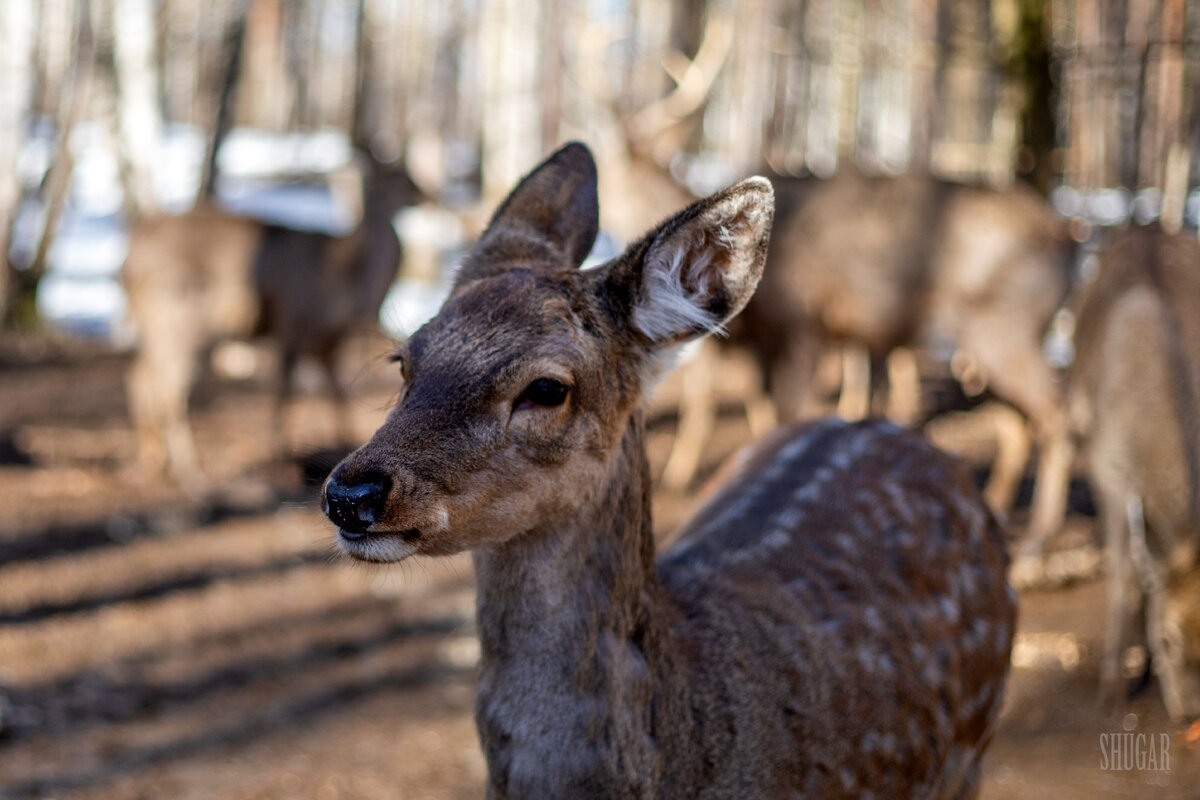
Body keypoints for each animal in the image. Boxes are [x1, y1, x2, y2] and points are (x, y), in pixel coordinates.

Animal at [123, 152, 422, 484]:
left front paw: (344, 444)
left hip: (156, 329)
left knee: (139, 376)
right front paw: (280, 461)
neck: (349, 281)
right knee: (168, 388)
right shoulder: (292, 326)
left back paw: (152, 459)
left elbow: (337, 393)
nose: (424, 193)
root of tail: (127, 261)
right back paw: (191, 471)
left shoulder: (327, 339)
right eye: (393, 177)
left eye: (407, 173)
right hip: (182, 324)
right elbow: (284, 393)